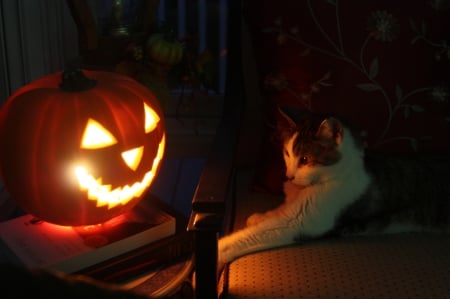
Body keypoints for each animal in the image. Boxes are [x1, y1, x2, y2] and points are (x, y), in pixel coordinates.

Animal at [218, 108, 450, 268]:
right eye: (287, 154)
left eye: (305, 159)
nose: (289, 176)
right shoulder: (291, 209)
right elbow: (275, 214)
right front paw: (259, 216)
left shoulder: (299, 222)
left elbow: (252, 236)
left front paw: (219, 250)